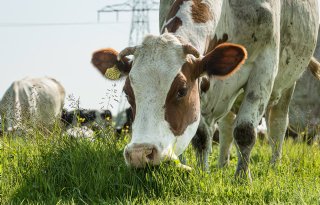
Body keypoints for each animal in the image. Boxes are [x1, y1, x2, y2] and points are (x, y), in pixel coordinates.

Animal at [91, 0, 318, 179]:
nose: (140, 154)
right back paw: (222, 164)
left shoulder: (264, 66)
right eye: (128, 93)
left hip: (288, 84)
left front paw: (242, 179)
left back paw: (273, 166)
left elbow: (245, 131)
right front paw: (202, 172)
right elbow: (201, 137)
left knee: (278, 125)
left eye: (182, 90)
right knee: (226, 128)